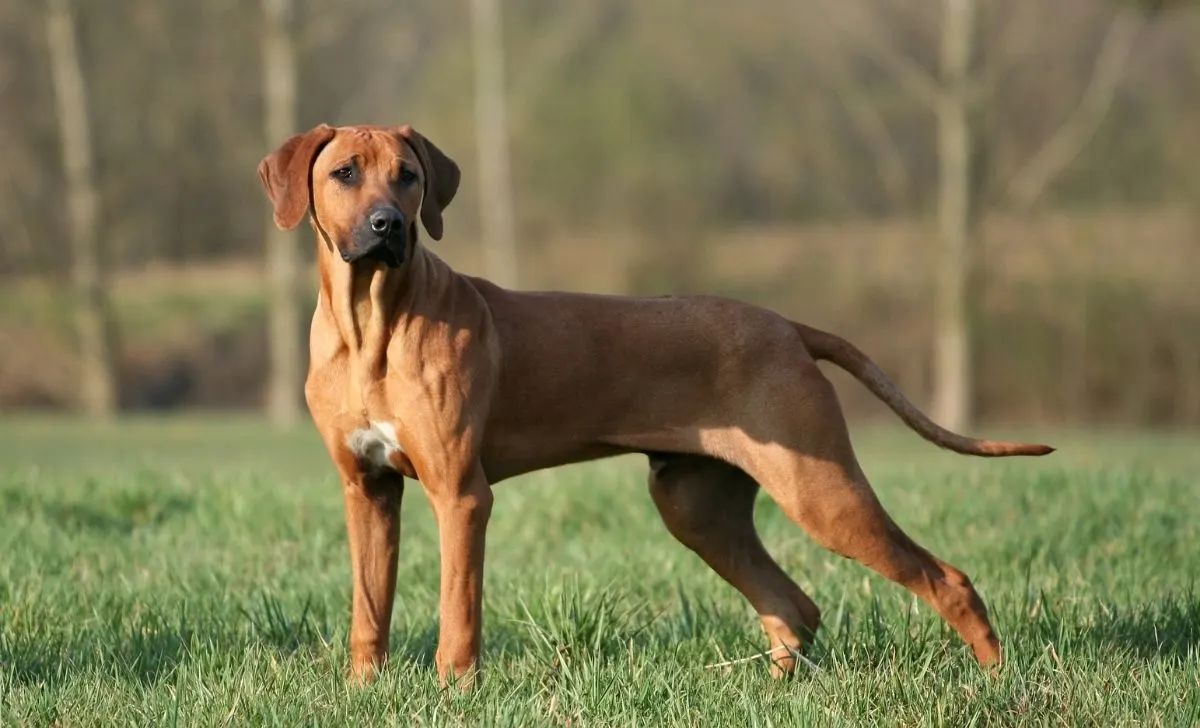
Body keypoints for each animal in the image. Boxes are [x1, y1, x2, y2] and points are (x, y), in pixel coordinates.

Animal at [258, 122, 1056, 686]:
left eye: (410, 177)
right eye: (344, 173)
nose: (388, 225)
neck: (372, 323)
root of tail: (788, 326)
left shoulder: (461, 493)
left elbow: (458, 610)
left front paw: (454, 693)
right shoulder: (367, 488)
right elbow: (369, 608)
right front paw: (364, 689)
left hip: (820, 491)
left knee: (945, 580)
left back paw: (997, 681)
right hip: (696, 505)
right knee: (794, 605)